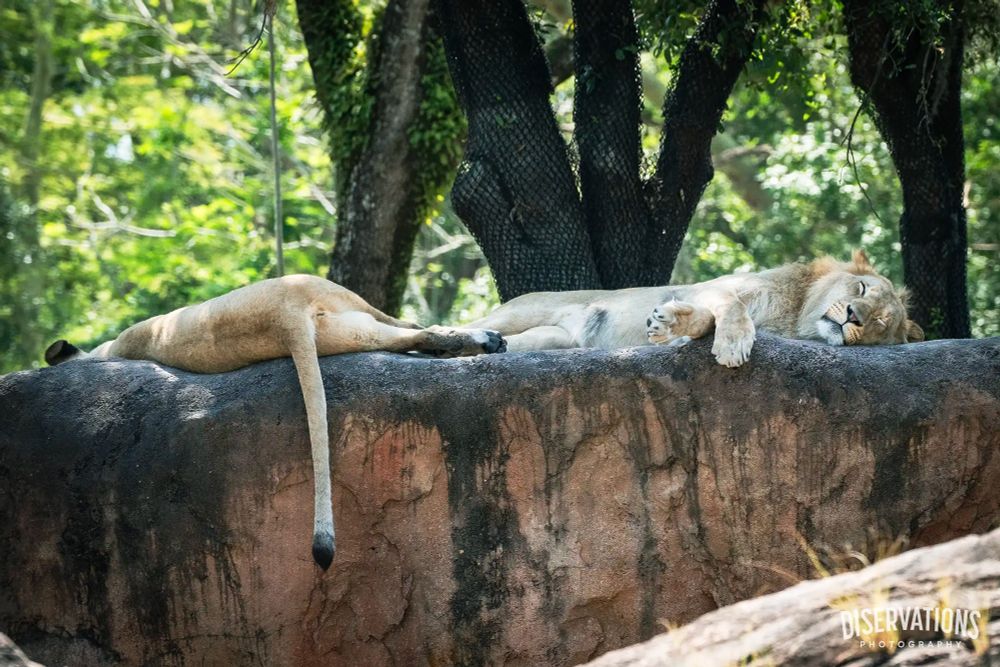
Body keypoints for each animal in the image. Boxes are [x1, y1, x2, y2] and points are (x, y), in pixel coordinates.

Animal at [43, 274, 506, 569]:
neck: (112, 351)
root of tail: (282, 319)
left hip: (346, 330)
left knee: (407, 334)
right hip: (339, 301)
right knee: (413, 329)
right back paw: (485, 341)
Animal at [467, 250, 923, 367]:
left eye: (880, 321)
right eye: (860, 287)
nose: (853, 315)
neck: (794, 319)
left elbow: (706, 322)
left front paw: (670, 326)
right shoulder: (716, 288)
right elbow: (732, 305)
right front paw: (733, 345)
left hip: (552, 339)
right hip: (519, 312)